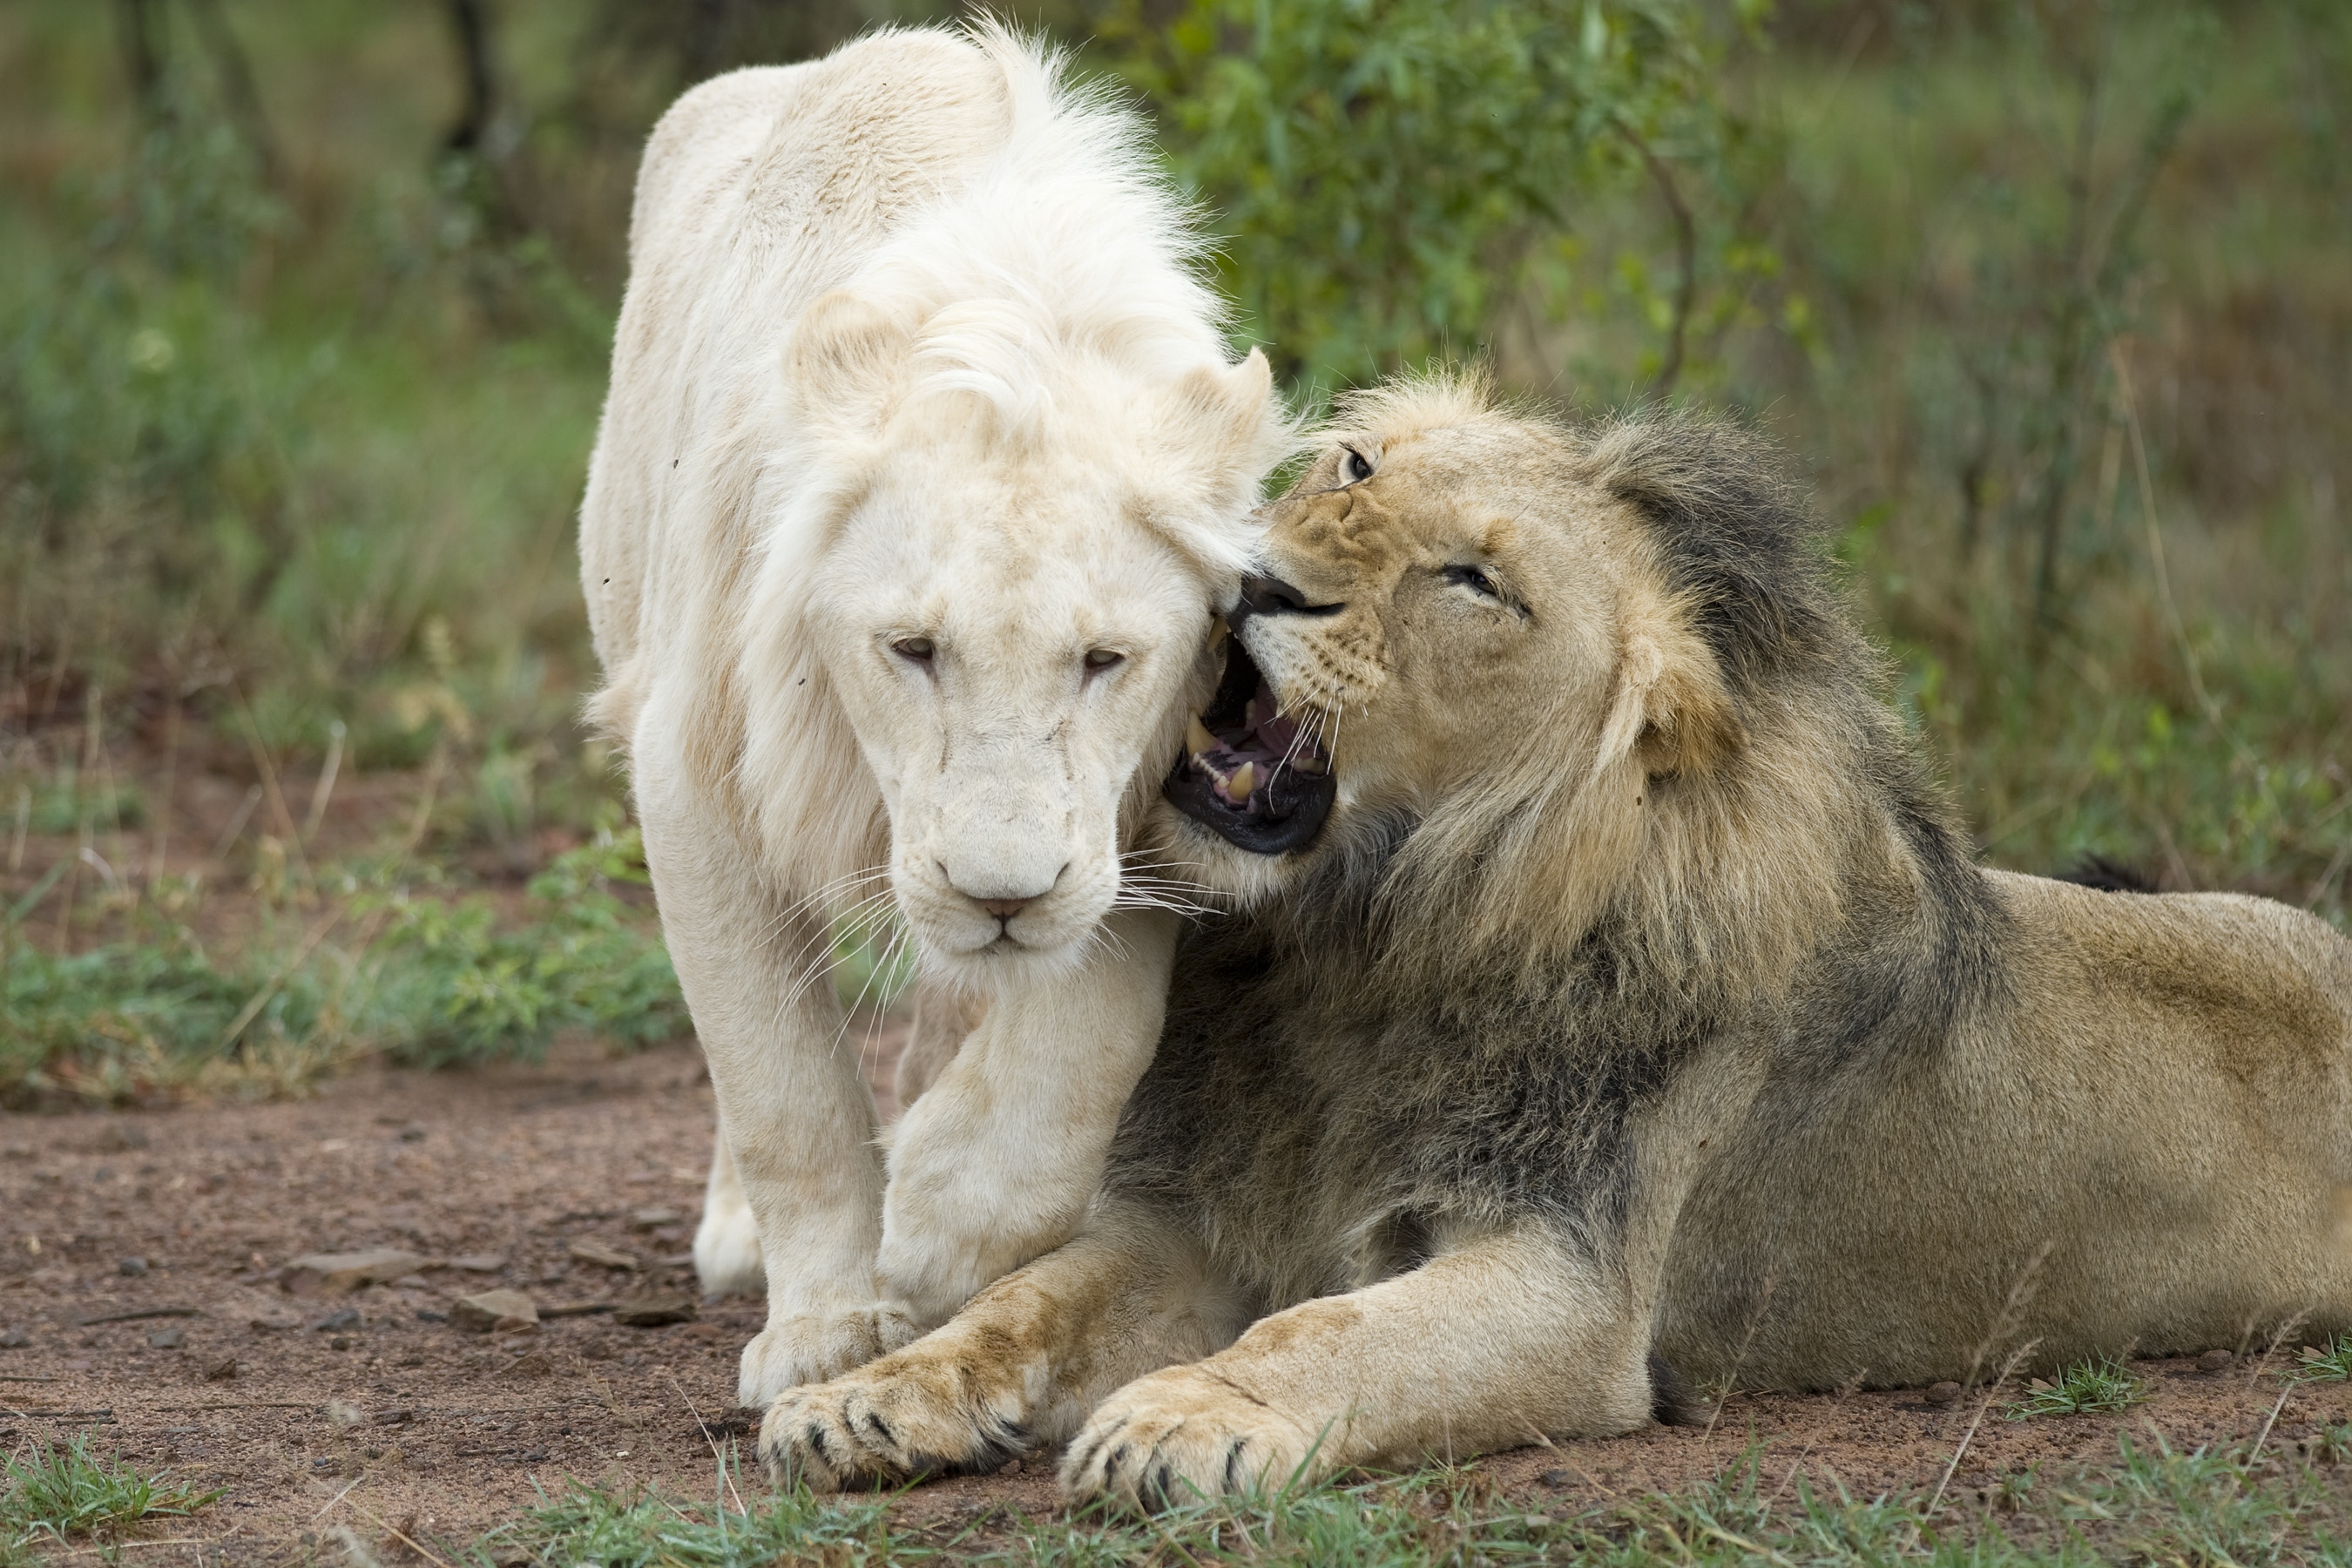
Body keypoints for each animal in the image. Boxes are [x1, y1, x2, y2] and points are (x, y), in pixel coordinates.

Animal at [577, 24, 1289, 1407]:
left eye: (1105, 660)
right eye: (912, 650)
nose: (996, 896)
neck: (1013, 320)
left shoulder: (1136, 811)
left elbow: (1076, 1065)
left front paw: (941, 1219)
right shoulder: (693, 773)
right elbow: (781, 1084)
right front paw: (821, 1327)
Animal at [756, 375, 2352, 1507]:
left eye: (1475, 583)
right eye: (1354, 469)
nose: (1260, 584)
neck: (1354, 962)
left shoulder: (1573, 1282)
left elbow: (1330, 1335)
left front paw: (1189, 1415)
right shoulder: (1200, 1222)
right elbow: (1020, 1302)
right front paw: (867, 1392)